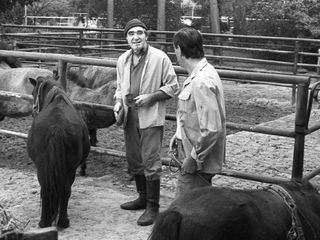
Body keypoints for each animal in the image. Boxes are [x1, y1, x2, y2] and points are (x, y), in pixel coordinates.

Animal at [26, 76, 90, 228]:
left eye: (33, 92)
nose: (33, 111)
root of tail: (56, 127)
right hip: (67, 168)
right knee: (61, 190)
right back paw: (57, 221)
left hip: (45, 167)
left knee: (49, 189)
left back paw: (50, 222)